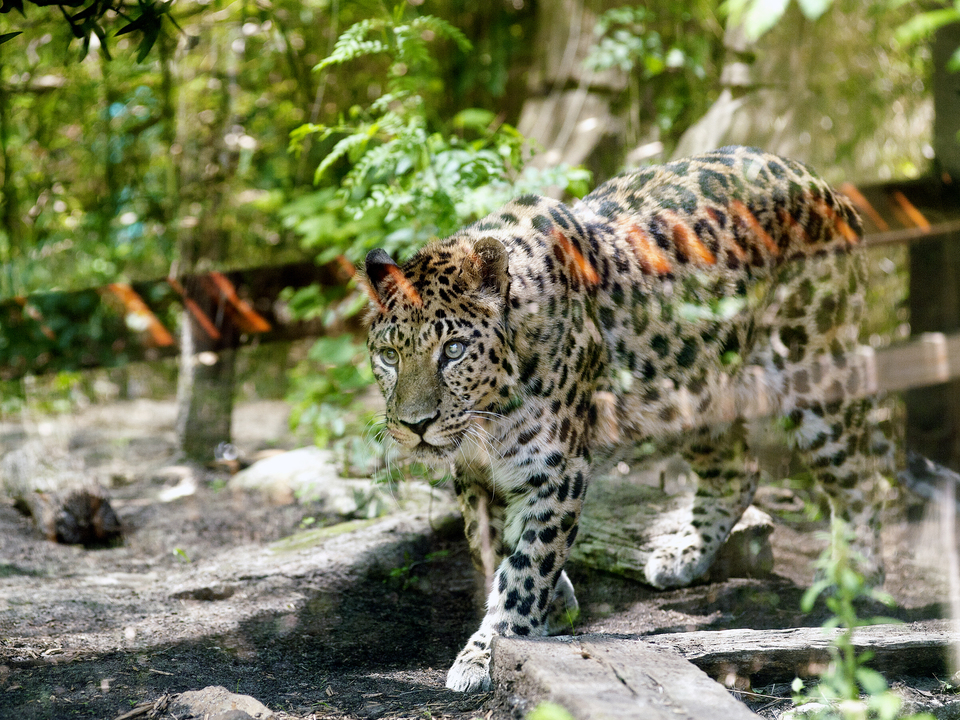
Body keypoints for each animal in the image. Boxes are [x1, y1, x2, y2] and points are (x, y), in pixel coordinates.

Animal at [362, 146, 893, 693]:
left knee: (863, 479)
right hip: (691, 397)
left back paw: (857, 575)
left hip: (816, 380)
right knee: (739, 472)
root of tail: (819, 181)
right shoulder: (475, 477)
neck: (489, 418)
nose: (415, 425)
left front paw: (489, 650)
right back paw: (682, 556)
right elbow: (497, 548)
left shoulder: (557, 471)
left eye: (454, 350)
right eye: (388, 355)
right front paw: (557, 604)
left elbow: (525, 570)